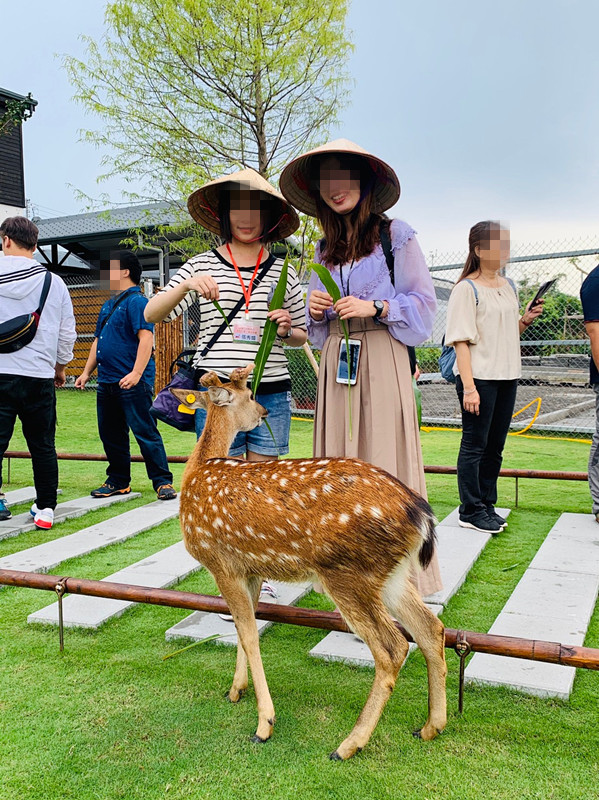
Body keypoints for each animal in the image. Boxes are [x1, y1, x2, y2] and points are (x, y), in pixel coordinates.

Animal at [173, 366, 446, 760]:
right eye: (249, 395)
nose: (264, 412)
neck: (196, 471)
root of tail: (421, 514)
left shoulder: (220, 561)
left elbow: (250, 633)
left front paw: (264, 724)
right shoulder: (249, 569)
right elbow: (242, 628)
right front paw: (236, 690)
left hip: (347, 573)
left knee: (393, 646)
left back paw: (348, 744)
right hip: (391, 574)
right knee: (430, 629)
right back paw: (430, 726)